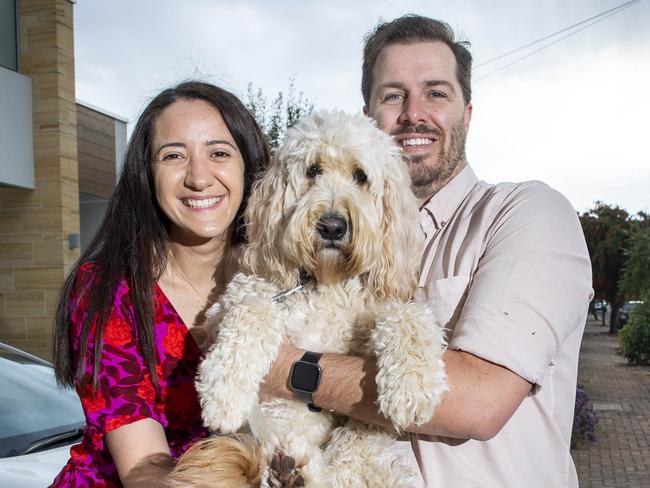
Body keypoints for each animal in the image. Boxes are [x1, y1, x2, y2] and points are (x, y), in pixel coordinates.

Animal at [170, 111, 448, 488]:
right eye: (313, 170)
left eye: (360, 176)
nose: (332, 226)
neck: (326, 281)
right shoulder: (238, 296)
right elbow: (251, 313)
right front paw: (223, 393)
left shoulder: (379, 309)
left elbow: (410, 317)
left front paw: (413, 387)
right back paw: (287, 469)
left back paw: (297, 472)